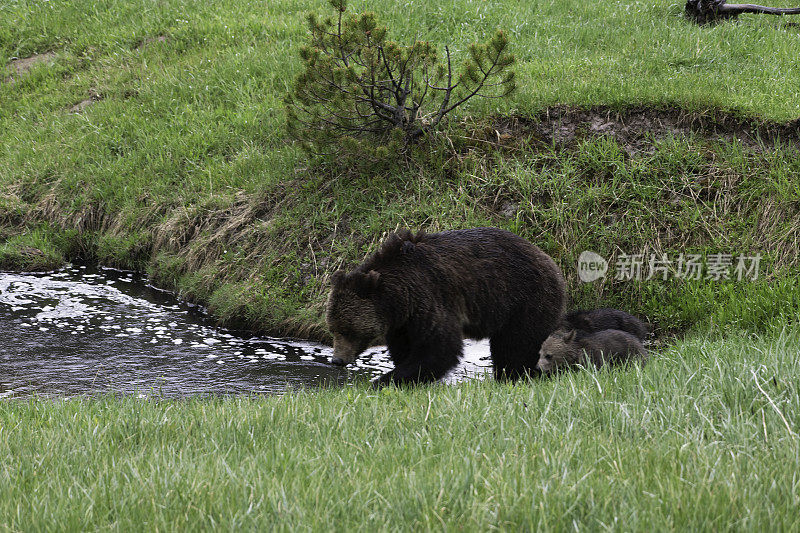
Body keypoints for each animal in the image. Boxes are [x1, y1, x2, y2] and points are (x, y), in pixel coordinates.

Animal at [322, 227, 564, 384]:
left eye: (347, 330)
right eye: (333, 328)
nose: (337, 360)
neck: (398, 296)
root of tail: (551, 261)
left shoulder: (430, 296)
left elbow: (439, 347)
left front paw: (385, 381)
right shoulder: (402, 321)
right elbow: (406, 347)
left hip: (524, 298)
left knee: (516, 345)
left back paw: (514, 376)